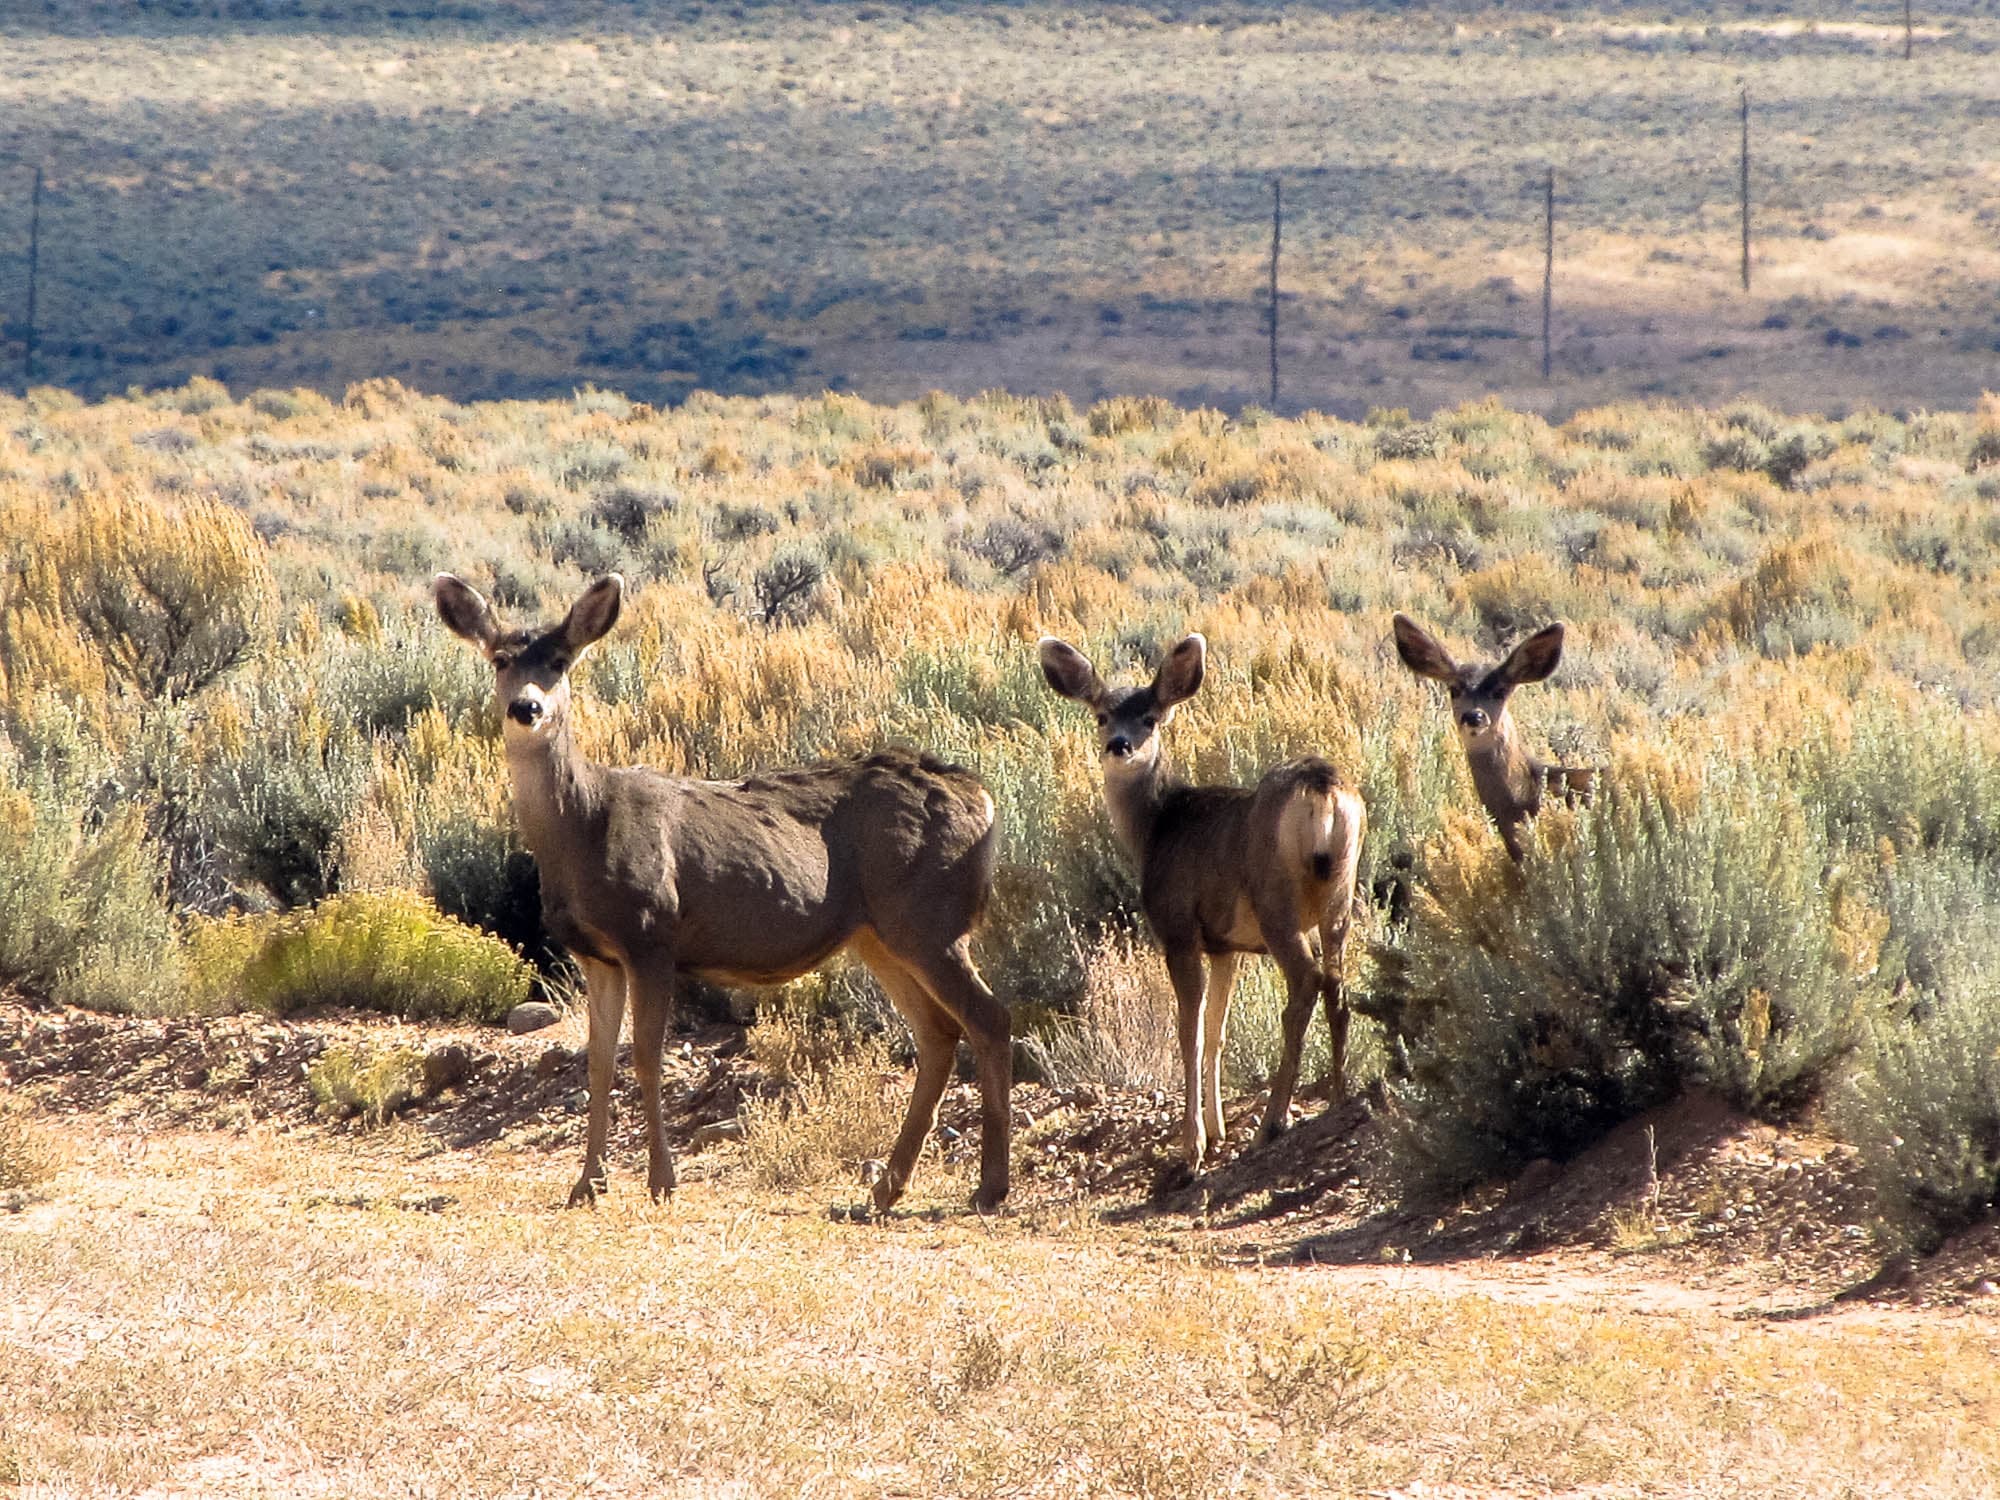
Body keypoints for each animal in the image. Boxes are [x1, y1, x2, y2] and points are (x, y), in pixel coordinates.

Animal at [433, 572, 1012, 1216]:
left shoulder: (651, 933)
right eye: (501, 659)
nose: (527, 707)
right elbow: (600, 1062)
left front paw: (662, 1181)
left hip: (931, 918)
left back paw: (989, 1187)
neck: (583, 827)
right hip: (880, 935)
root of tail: (982, 798)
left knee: (990, 1018)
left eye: (560, 661)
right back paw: (885, 1189)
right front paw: (587, 1185)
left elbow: (647, 1056)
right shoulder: (597, 955)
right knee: (938, 1033)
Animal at [1038, 632, 1366, 1171]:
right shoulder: (1225, 945)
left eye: (1150, 717)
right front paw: (1215, 1131)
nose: (1119, 745)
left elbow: (1188, 1032)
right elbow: (1216, 1029)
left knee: (1306, 981)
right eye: (1102, 715)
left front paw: (1191, 1146)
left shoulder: (1179, 930)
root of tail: (1321, 790)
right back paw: (1338, 1099)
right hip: (1340, 890)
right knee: (1337, 983)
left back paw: (1273, 1122)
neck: (1155, 827)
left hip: (1276, 901)